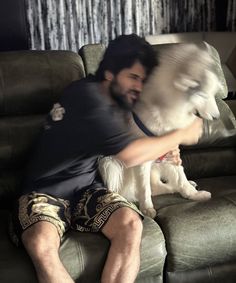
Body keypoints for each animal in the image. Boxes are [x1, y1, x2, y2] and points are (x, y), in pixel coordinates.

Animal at [98, 43, 222, 219]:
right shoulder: (142, 157)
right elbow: (145, 188)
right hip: (109, 164)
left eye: (213, 94)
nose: (217, 117)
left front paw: (193, 194)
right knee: (153, 188)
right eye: (203, 95)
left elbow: (180, 175)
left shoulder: (170, 147)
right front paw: (147, 208)